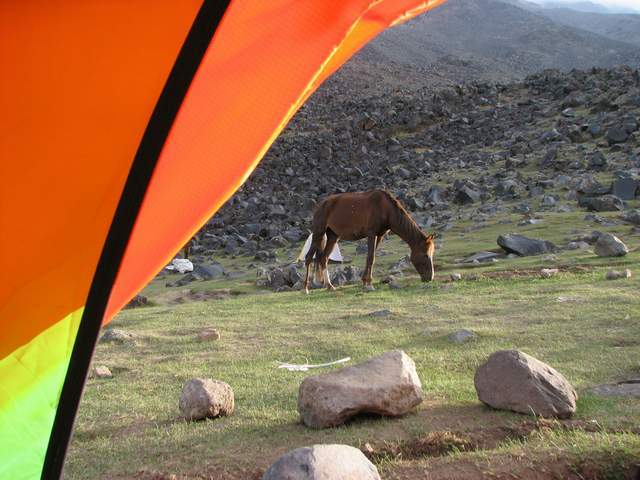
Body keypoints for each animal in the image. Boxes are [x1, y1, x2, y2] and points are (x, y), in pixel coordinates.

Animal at [304, 190, 436, 292]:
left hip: (333, 236)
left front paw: (365, 282)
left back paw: (329, 286)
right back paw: (306, 289)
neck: (385, 208)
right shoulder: (372, 234)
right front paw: (369, 284)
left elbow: (371, 258)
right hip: (318, 233)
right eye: (425, 255)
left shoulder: (380, 236)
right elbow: (371, 258)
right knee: (309, 257)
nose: (430, 278)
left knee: (324, 258)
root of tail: (320, 205)